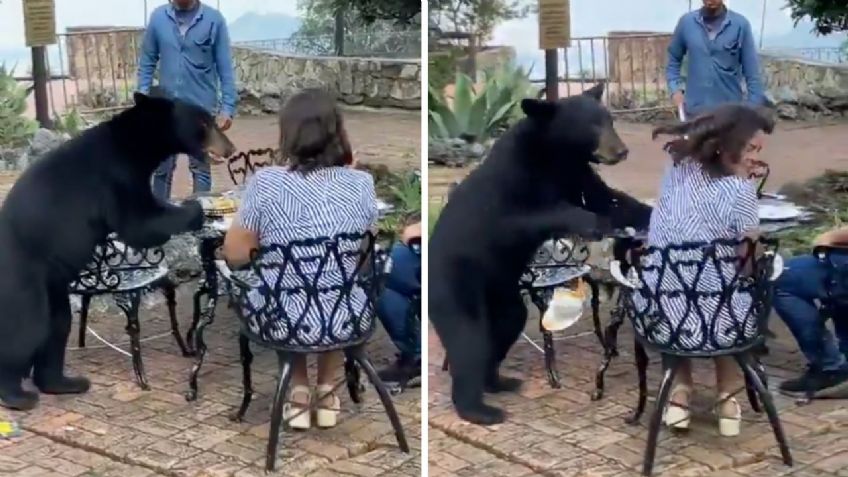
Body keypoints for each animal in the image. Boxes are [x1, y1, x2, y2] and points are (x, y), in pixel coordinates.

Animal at [0, 93, 235, 410]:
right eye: (204, 123)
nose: (230, 147)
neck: (133, 144)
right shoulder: (116, 178)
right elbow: (139, 222)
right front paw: (196, 208)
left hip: (53, 285)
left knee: (58, 324)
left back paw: (65, 382)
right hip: (23, 277)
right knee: (28, 328)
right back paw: (17, 394)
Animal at [428, 82, 652, 424]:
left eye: (610, 120)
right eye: (592, 125)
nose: (621, 150)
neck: (555, 154)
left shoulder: (577, 173)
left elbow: (613, 201)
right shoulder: (513, 180)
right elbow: (523, 217)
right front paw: (591, 222)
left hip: (501, 293)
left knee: (507, 324)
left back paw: (498, 381)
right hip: (456, 282)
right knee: (467, 338)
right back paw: (480, 408)